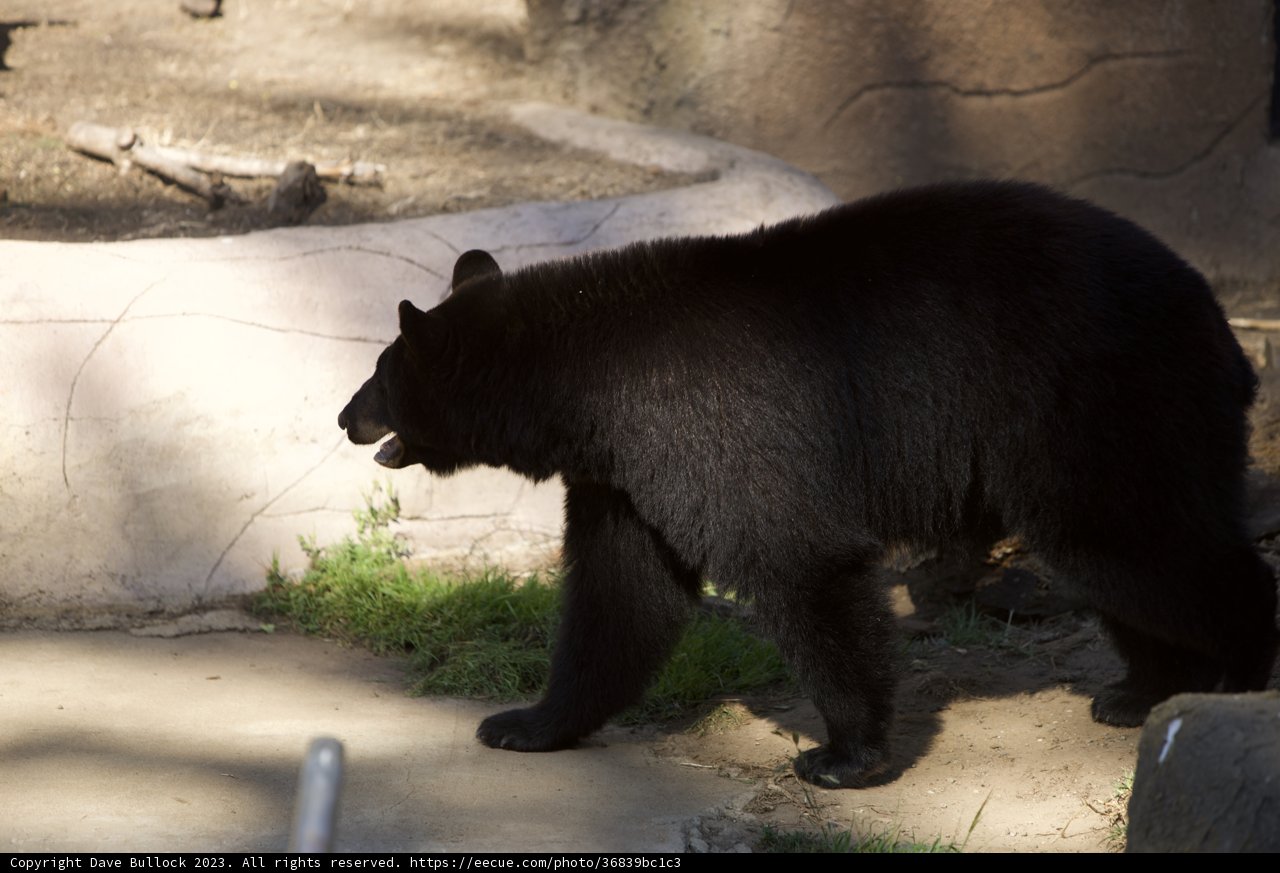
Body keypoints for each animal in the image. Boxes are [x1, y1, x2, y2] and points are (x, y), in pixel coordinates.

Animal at [337, 180, 1279, 788]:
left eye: (381, 374)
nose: (344, 417)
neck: (588, 378)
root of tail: (1226, 330)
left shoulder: (709, 425)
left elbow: (798, 558)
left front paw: (843, 755)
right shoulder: (629, 471)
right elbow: (621, 592)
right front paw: (524, 723)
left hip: (1097, 400)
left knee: (1137, 538)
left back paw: (1236, 670)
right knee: (1130, 556)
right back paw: (1139, 691)